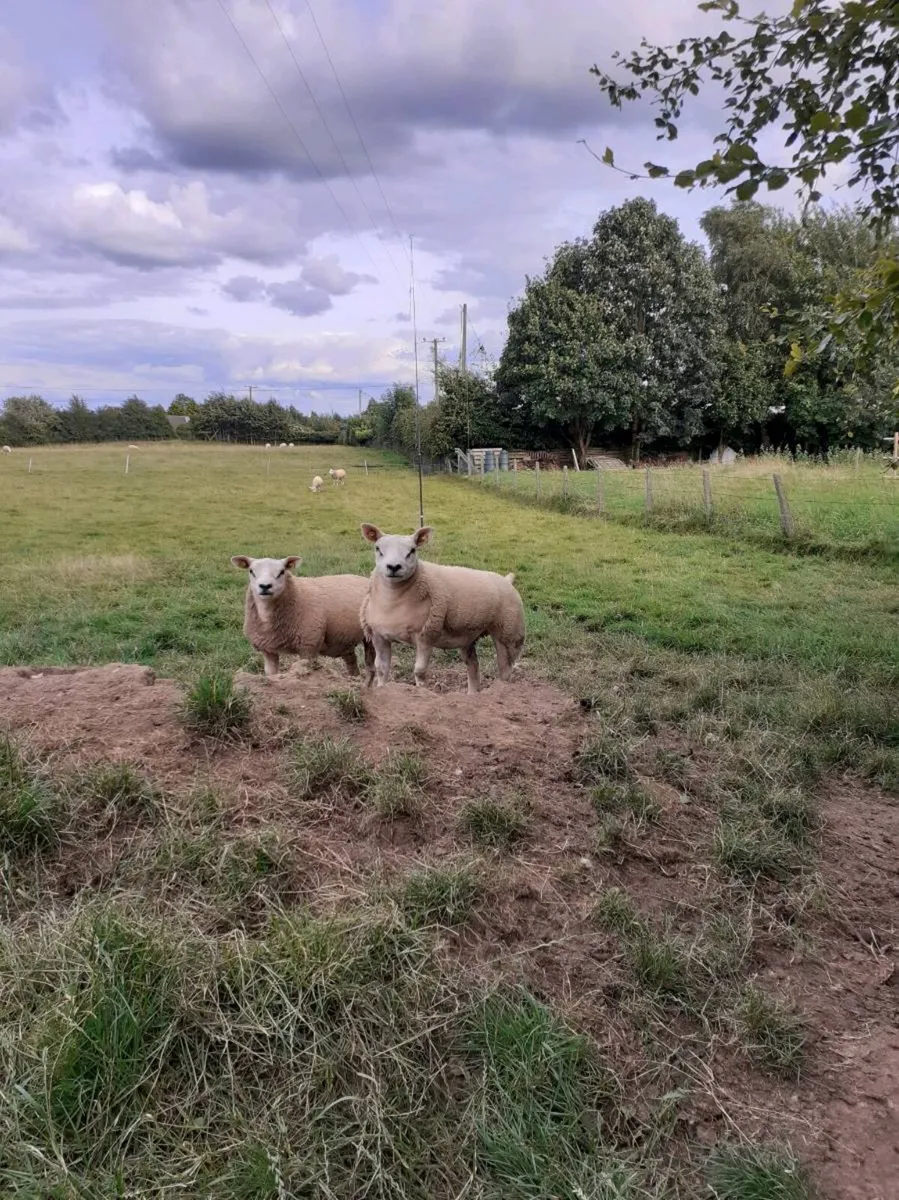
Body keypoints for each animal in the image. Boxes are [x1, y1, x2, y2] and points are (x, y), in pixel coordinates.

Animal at [231, 554, 375, 683]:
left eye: (282, 572)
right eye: (251, 571)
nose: (265, 586)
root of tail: (363, 578)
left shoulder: (308, 646)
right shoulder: (268, 650)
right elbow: (271, 674)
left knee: (371, 665)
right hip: (344, 639)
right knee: (352, 661)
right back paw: (355, 680)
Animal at [360, 523, 525, 694]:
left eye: (412, 550)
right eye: (378, 548)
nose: (393, 567)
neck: (393, 602)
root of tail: (506, 580)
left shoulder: (426, 635)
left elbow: (419, 672)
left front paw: (422, 693)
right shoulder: (378, 635)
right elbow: (381, 669)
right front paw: (382, 690)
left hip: (509, 633)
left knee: (505, 670)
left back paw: (501, 690)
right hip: (467, 635)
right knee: (473, 665)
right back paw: (472, 695)